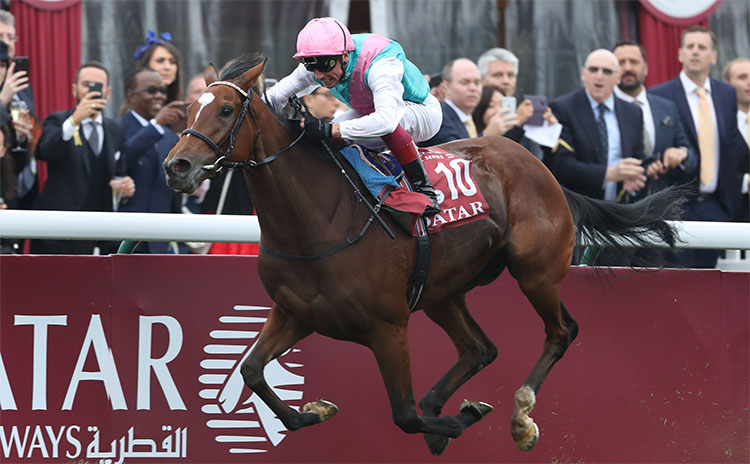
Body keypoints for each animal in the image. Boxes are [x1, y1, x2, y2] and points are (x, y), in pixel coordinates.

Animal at [164, 53, 688, 454]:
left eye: (226, 110)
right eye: (188, 108)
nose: (177, 166)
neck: (318, 220)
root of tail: (543, 168)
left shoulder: (388, 326)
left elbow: (404, 415)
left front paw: (460, 420)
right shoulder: (295, 312)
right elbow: (252, 371)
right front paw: (316, 410)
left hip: (535, 272)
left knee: (561, 331)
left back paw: (519, 419)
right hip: (441, 293)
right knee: (480, 348)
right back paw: (449, 403)